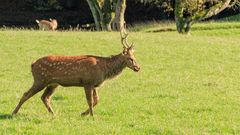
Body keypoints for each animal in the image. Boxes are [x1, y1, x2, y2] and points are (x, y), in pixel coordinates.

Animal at [12, 28, 141, 116]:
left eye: (134, 56)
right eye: (130, 58)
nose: (138, 67)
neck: (104, 69)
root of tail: (33, 64)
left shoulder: (94, 84)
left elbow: (97, 100)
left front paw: (84, 114)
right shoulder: (87, 82)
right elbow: (90, 101)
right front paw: (92, 116)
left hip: (53, 84)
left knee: (45, 97)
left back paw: (53, 114)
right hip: (40, 79)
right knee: (26, 94)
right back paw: (14, 112)